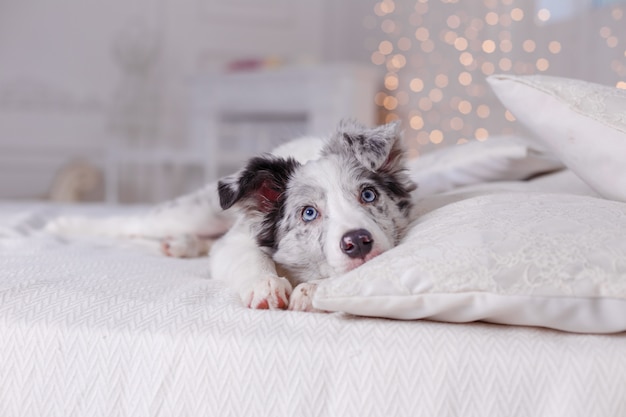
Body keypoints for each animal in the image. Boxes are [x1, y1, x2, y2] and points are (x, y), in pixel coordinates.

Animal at [44, 119, 414, 308]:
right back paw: (61, 223)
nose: (358, 242)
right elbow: (251, 258)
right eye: (309, 213)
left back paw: (180, 244)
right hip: (197, 212)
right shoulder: (236, 243)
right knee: (128, 224)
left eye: (368, 195)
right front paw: (266, 285)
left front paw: (312, 292)